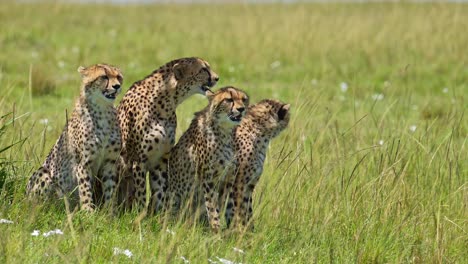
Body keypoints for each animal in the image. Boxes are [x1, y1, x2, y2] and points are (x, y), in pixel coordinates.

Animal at [26, 62, 123, 212]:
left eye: (118, 77)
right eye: (104, 76)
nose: (117, 86)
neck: (102, 110)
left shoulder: (110, 162)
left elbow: (110, 189)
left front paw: (109, 212)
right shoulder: (83, 163)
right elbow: (85, 189)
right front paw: (88, 212)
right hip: (44, 173)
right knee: (39, 204)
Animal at [117, 56, 219, 211]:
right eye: (203, 69)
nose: (217, 78)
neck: (166, 101)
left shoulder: (162, 159)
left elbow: (160, 192)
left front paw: (158, 215)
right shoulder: (138, 160)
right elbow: (141, 193)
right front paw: (139, 214)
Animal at [167, 86, 249, 231]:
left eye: (243, 99)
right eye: (229, 99)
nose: (241, 109)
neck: (225, 131)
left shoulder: (227, 178)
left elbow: (224, 205)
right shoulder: (208, 178)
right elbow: (212, 206)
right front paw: (216, 229)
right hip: (175, 199)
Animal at [226, 99, 290, 229]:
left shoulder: (249, 186)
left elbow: (247, 212)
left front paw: (250, 230)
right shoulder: (238, 184)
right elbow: (240, 211)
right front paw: (241, 231)